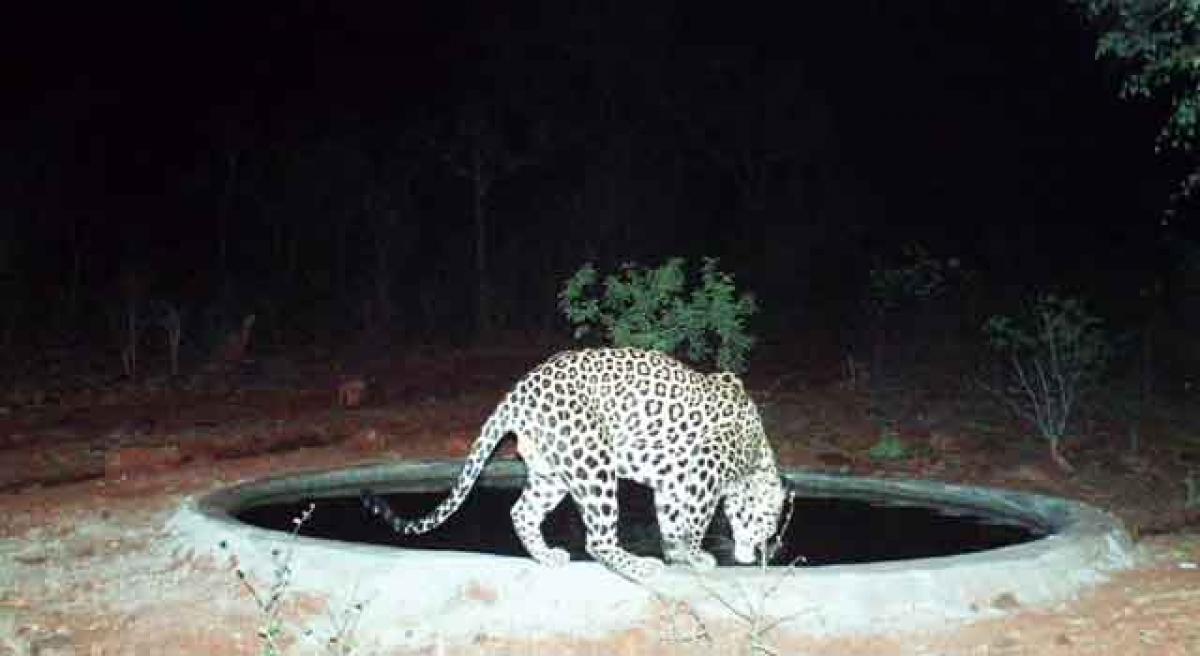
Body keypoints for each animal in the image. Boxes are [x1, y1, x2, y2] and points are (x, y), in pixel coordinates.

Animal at [357, 350, 787, 580]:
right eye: (764, 526)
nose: (756, 556)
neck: (757, 454)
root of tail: (518, 392)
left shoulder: (672, 481)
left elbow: (671, 520)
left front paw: (677, 552)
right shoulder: (703, 474)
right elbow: (695, 522)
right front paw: (694, 555)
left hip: (554, 472)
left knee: (521, 511)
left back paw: (547, 556)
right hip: (594, 461)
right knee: (597, 540)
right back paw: (639, 565)